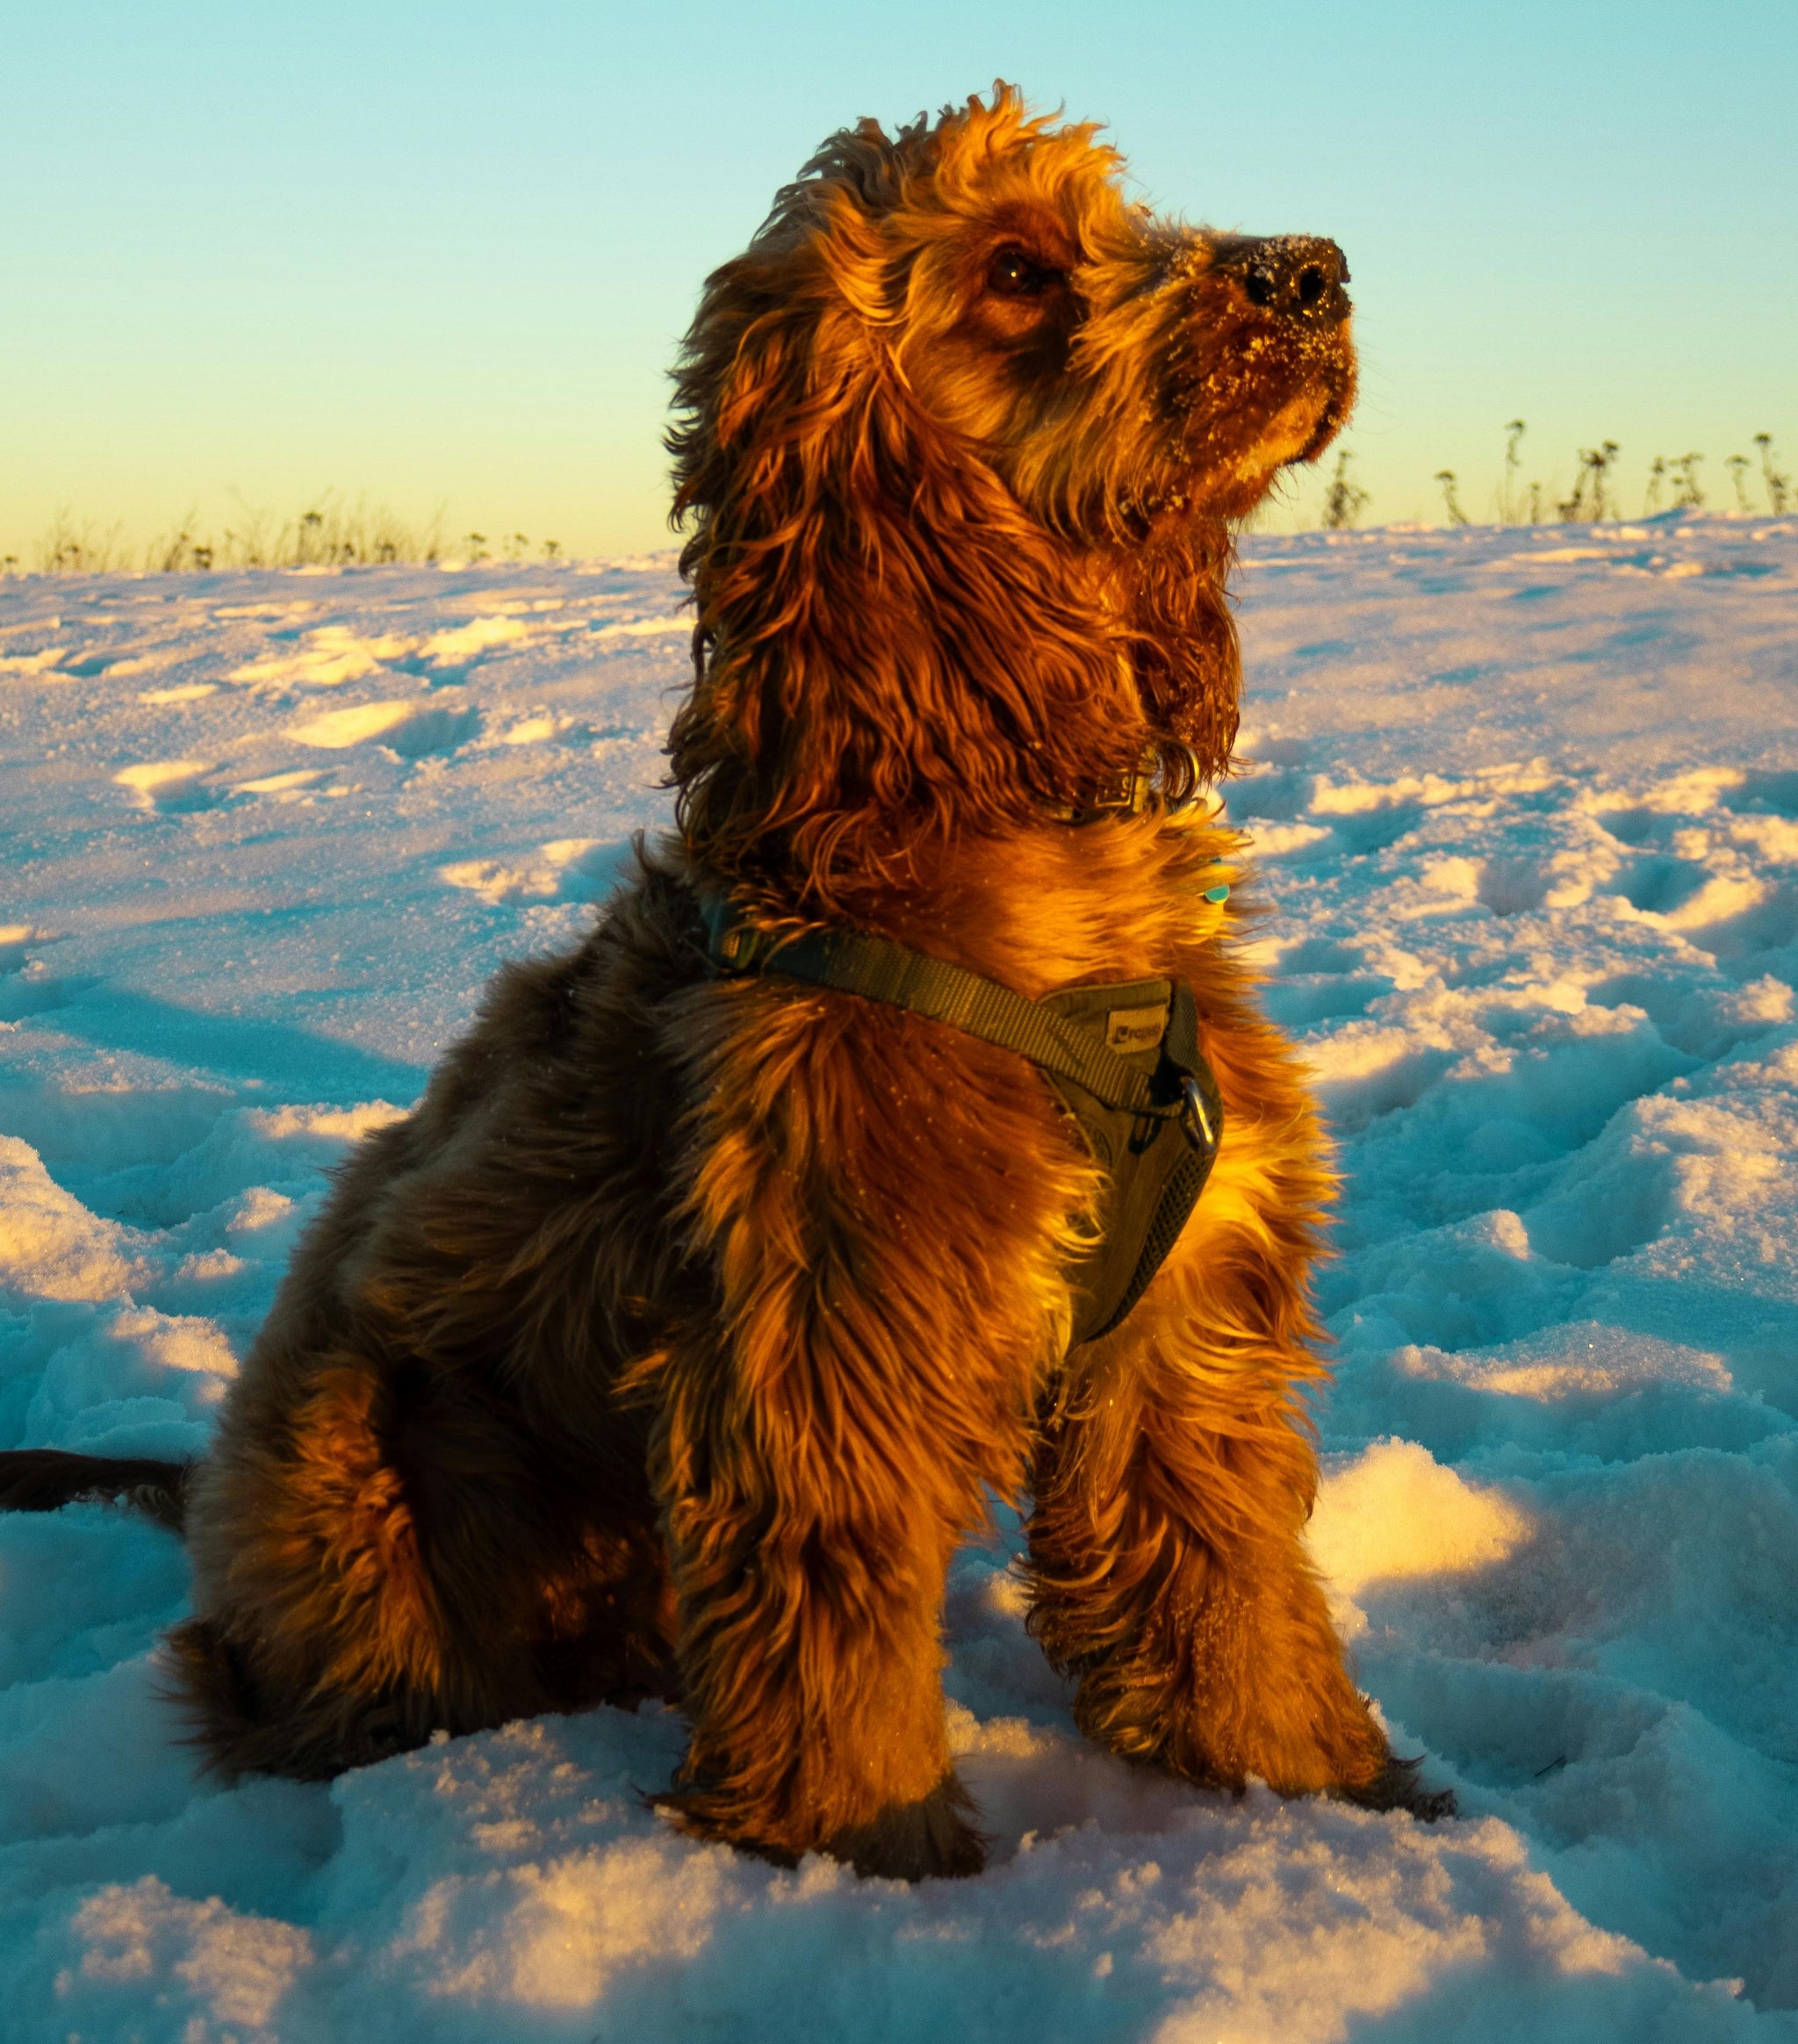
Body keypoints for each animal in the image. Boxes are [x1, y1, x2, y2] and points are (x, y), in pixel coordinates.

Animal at [0, 88, 1446, 1872]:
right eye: (1017, 270)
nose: (1311, 272)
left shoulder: (1183, 1328)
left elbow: (1231, 1601)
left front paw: (1333, 1801)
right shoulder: (834, 1336)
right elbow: (832, 1644)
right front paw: (866, 1861)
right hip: (357, 1479)